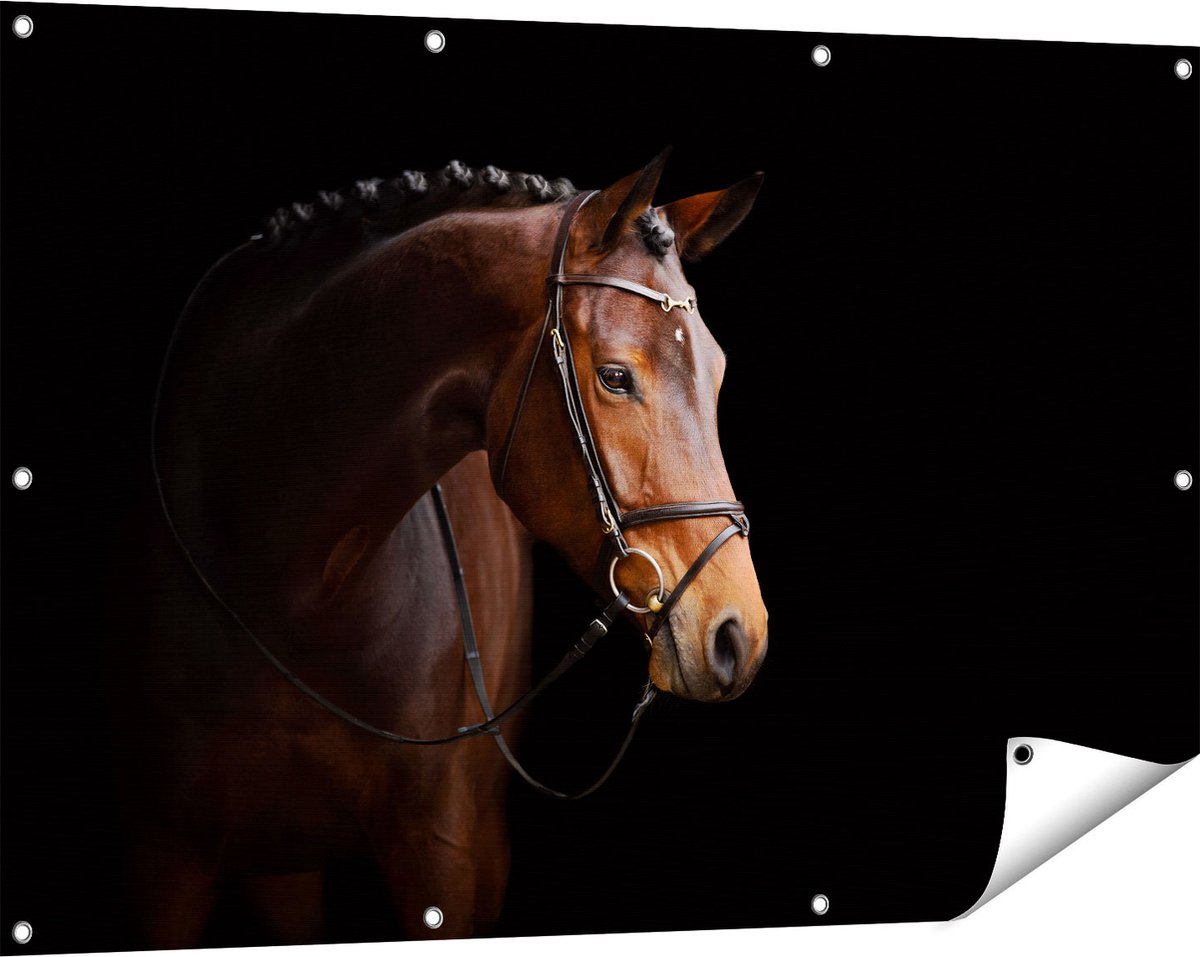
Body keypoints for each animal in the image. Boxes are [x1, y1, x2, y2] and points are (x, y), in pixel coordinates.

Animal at [112, 153, 769, 947]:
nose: (738, 634)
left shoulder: (441, 852)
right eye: (615, 376)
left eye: (718, 372)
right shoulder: (162, 863)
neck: (285, 584)